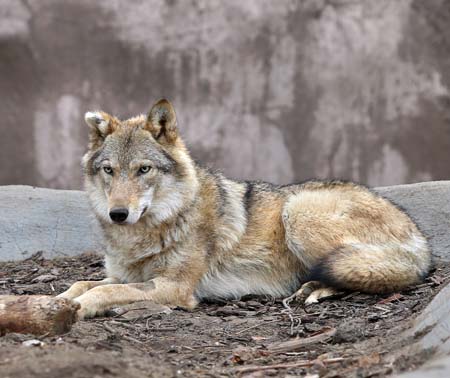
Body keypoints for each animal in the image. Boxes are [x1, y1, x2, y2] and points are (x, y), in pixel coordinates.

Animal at [58, 99, 430, 318]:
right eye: (109, 170)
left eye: (143, 169)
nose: (118, 214)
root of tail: (421, 241)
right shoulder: (125, 274)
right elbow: (82, 284)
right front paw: (56, 302)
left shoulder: (173, 287)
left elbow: (105, 290)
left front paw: (78, 309)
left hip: (298, 212)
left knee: (358, 275)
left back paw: (313, 289)